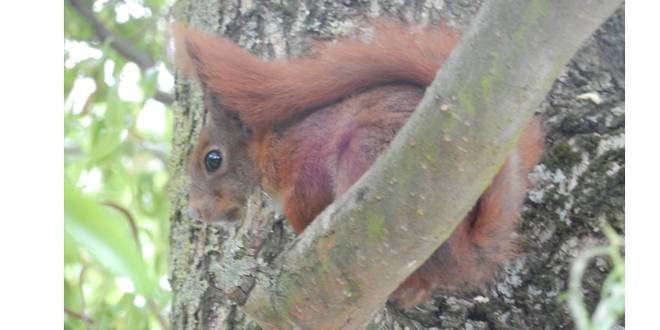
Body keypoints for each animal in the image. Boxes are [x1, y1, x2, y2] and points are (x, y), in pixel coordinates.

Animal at [174, 21, 540, 308]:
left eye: (213, 160)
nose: (196, 212)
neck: (267, 149)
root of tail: (464, 251)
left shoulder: (302, 165)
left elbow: (303, 203)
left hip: (362, 151)